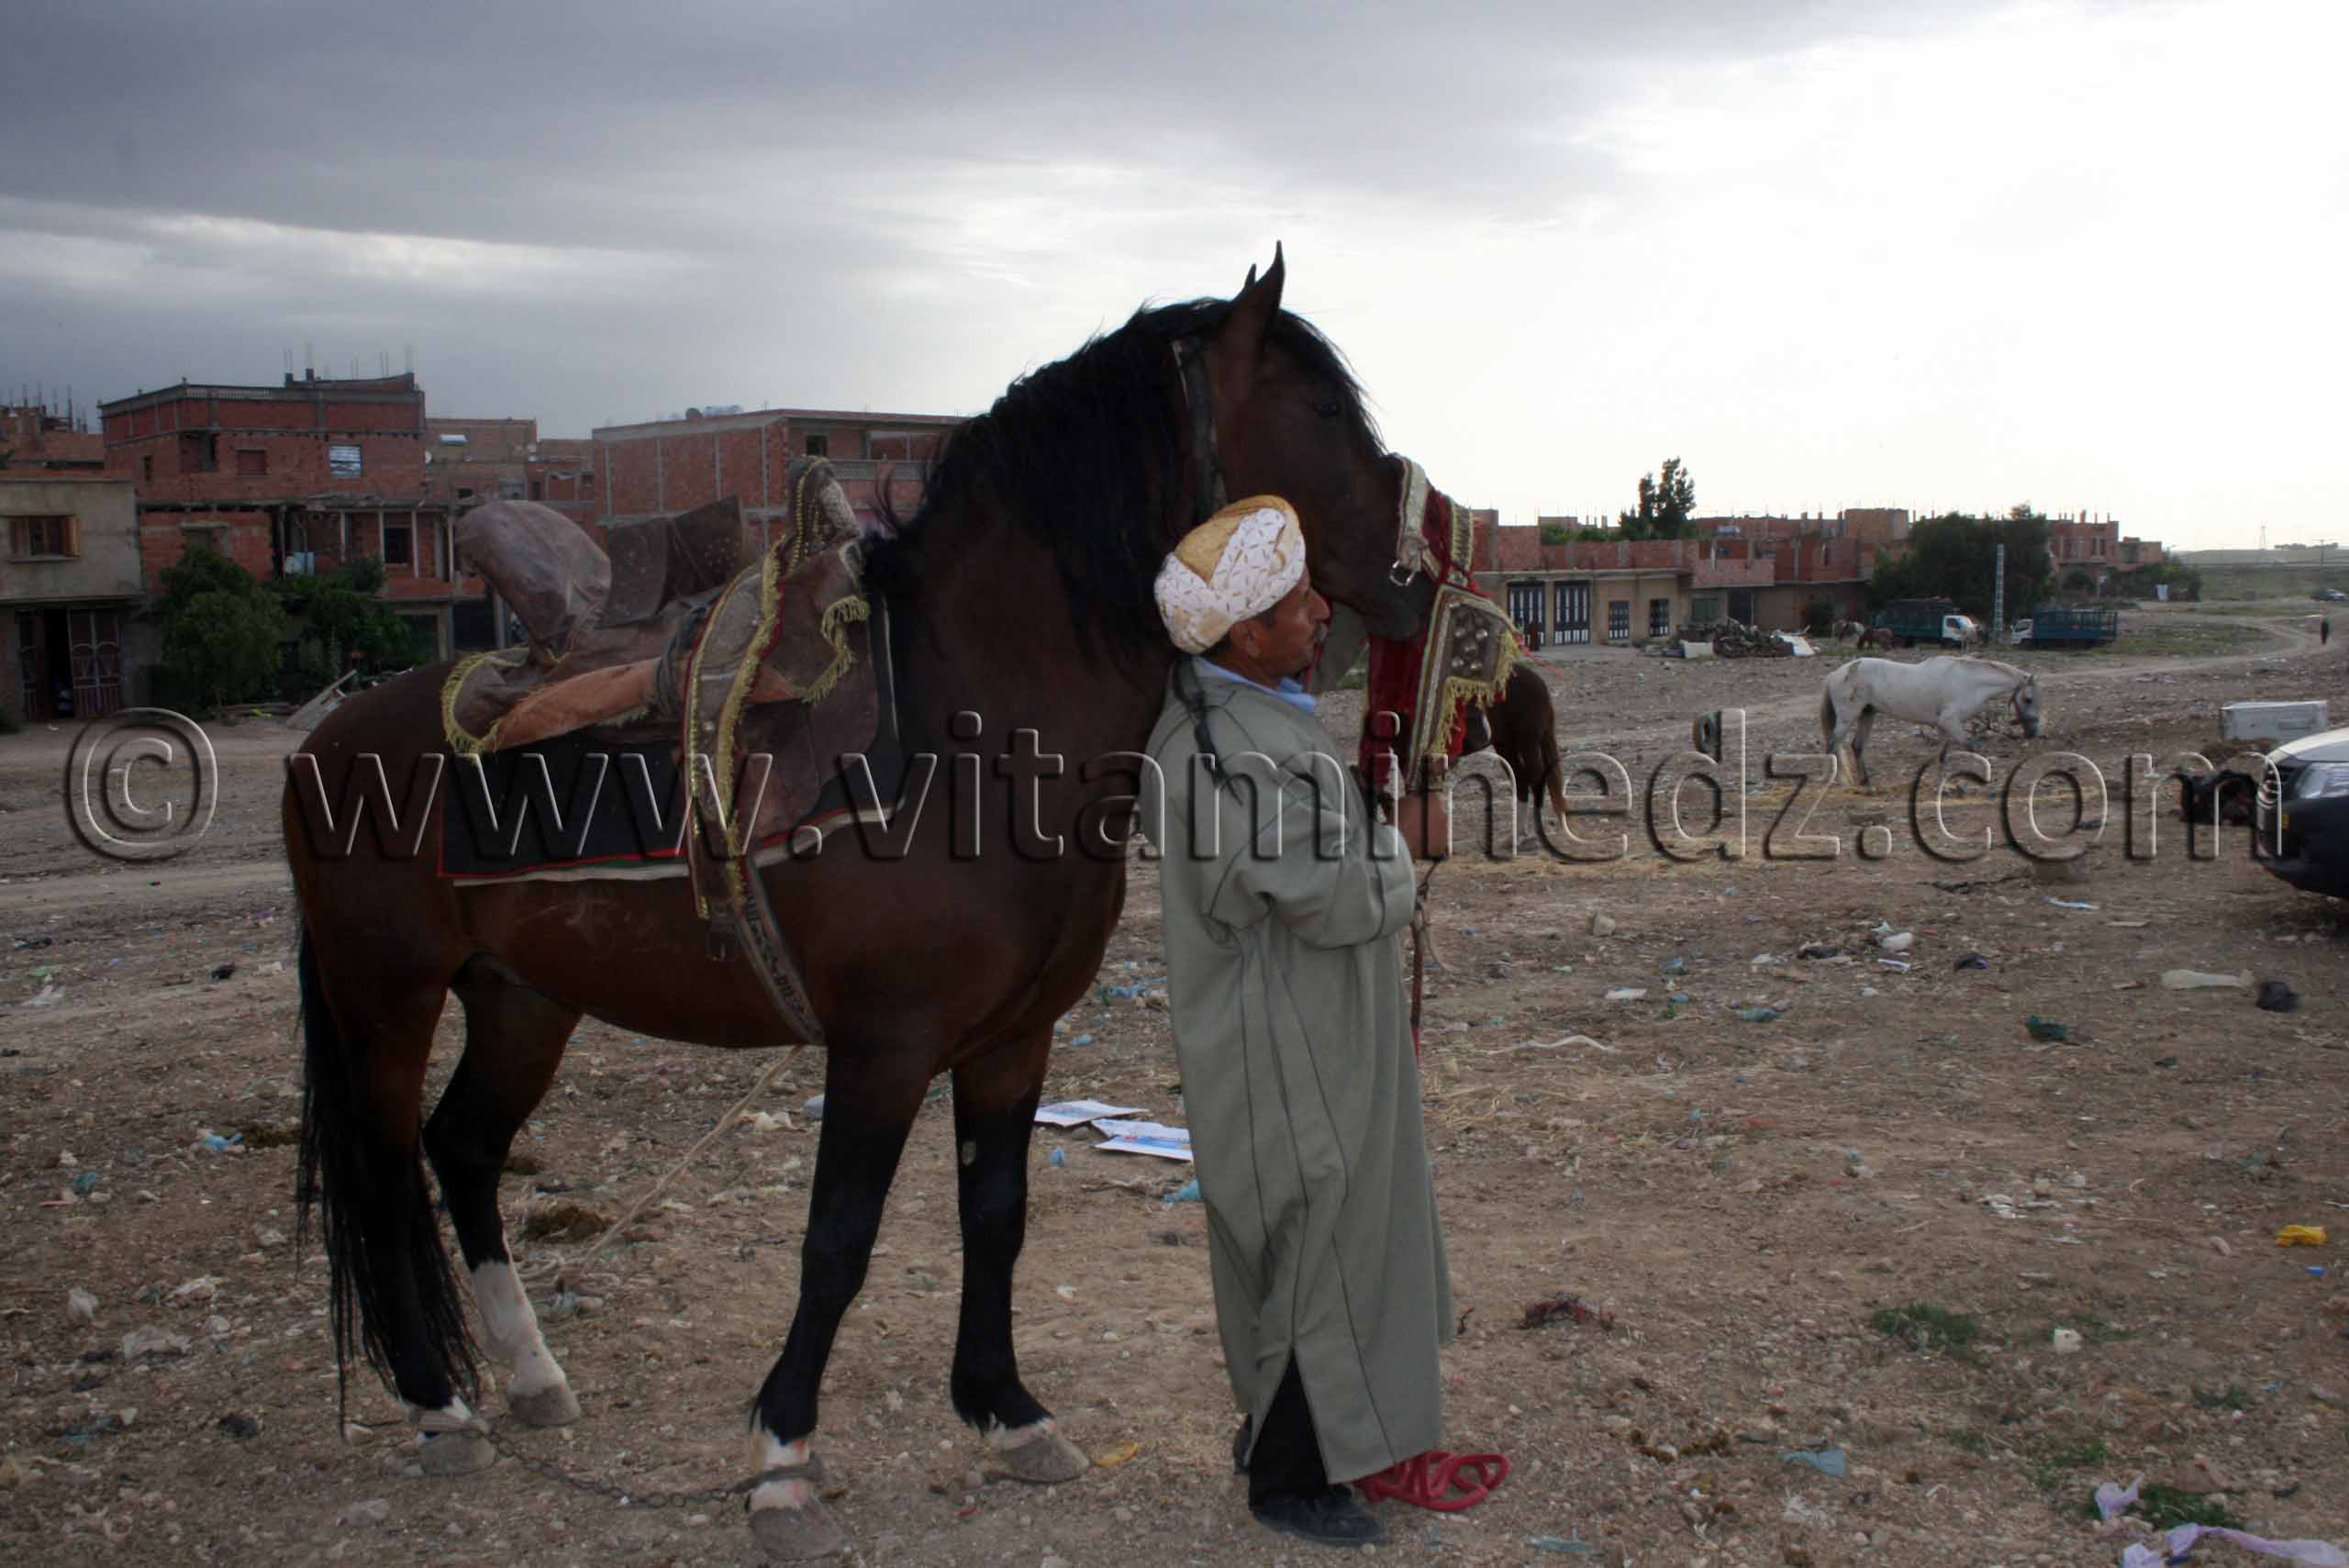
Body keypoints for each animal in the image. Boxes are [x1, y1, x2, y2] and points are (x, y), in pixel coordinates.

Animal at [282, 249, 1431, 1562]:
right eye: (1323, 410)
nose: (1422, 576)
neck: (962, 727)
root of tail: (322, 741)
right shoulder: (882, 1048)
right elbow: (837, 1240)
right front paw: (783, 1453)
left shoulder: (1012, 1040)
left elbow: (996, 1214)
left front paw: (1007, 1409)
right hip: (386, 996)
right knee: (385, 1169)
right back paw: (440, 1402)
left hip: (523, 999)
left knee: (463, 1150)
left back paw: (529, 1377)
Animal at [1820, 654, 2041, 793]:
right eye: (2028, 699)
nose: (2032, 732)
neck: (1968, 682)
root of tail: (1835, 675)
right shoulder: (1950, 722)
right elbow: (1971, 748)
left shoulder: (1944, 727)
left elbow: (1943, 756)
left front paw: (1943, 787)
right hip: (1848, 717)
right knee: (1833, 744)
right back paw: (1832, 783)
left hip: (1867, 714)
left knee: (1857, 746)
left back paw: (1867, 786)